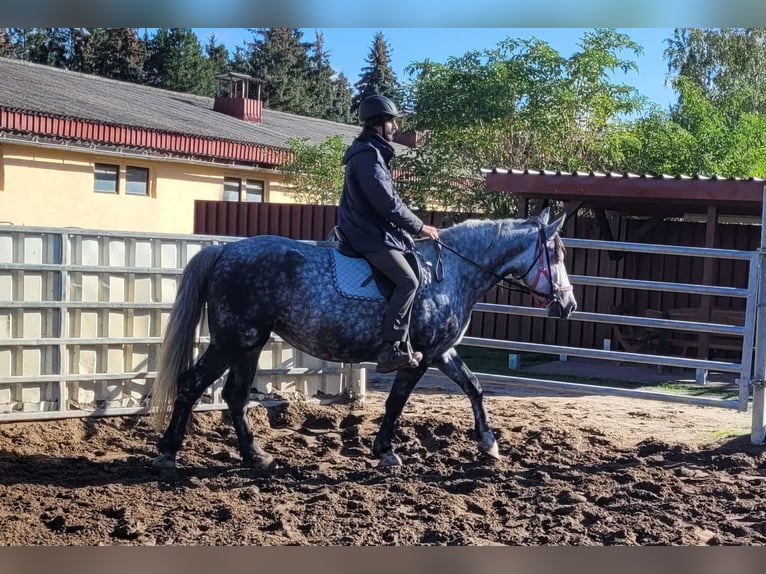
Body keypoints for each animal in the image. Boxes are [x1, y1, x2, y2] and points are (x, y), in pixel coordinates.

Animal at [153, 209, 580, 470]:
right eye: (557, 254)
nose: (569, 304)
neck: (451, 273)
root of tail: (225, 251)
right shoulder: (420, 356)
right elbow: (396, 402)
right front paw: (386, 451)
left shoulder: (442, 352)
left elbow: (474, 387)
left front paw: (489, 444)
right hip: (234, 342)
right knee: (193, 385)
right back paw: (169, 454)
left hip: (247, 345)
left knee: (234, 396)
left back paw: (255, 456)